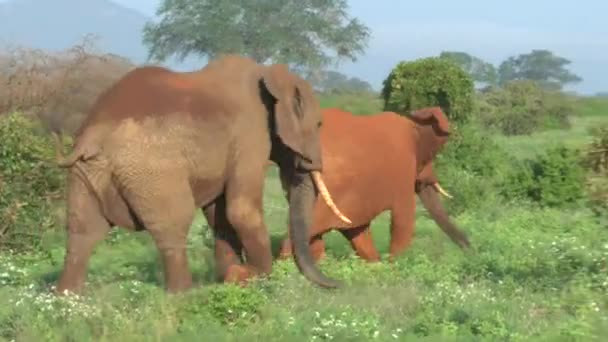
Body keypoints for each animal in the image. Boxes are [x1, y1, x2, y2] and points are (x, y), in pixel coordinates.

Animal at [52, 54, 352, 294]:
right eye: (319, 124)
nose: (339, 284)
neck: (268, 75)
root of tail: (92, 136)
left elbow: (219, 216)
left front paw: (231, 277)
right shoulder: (250, 138)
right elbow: (241, 210)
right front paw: (260, 279)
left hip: (86, 174)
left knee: (82, 231)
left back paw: (67, 298)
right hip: (153, 173)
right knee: (174, 223)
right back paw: (184, 294)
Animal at [276, 108, 470, 264]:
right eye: (427, 159)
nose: (470, 248)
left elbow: (357, 230)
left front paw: (377, 266)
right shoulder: (403, 168)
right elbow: (403, 217)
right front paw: (394, 265)